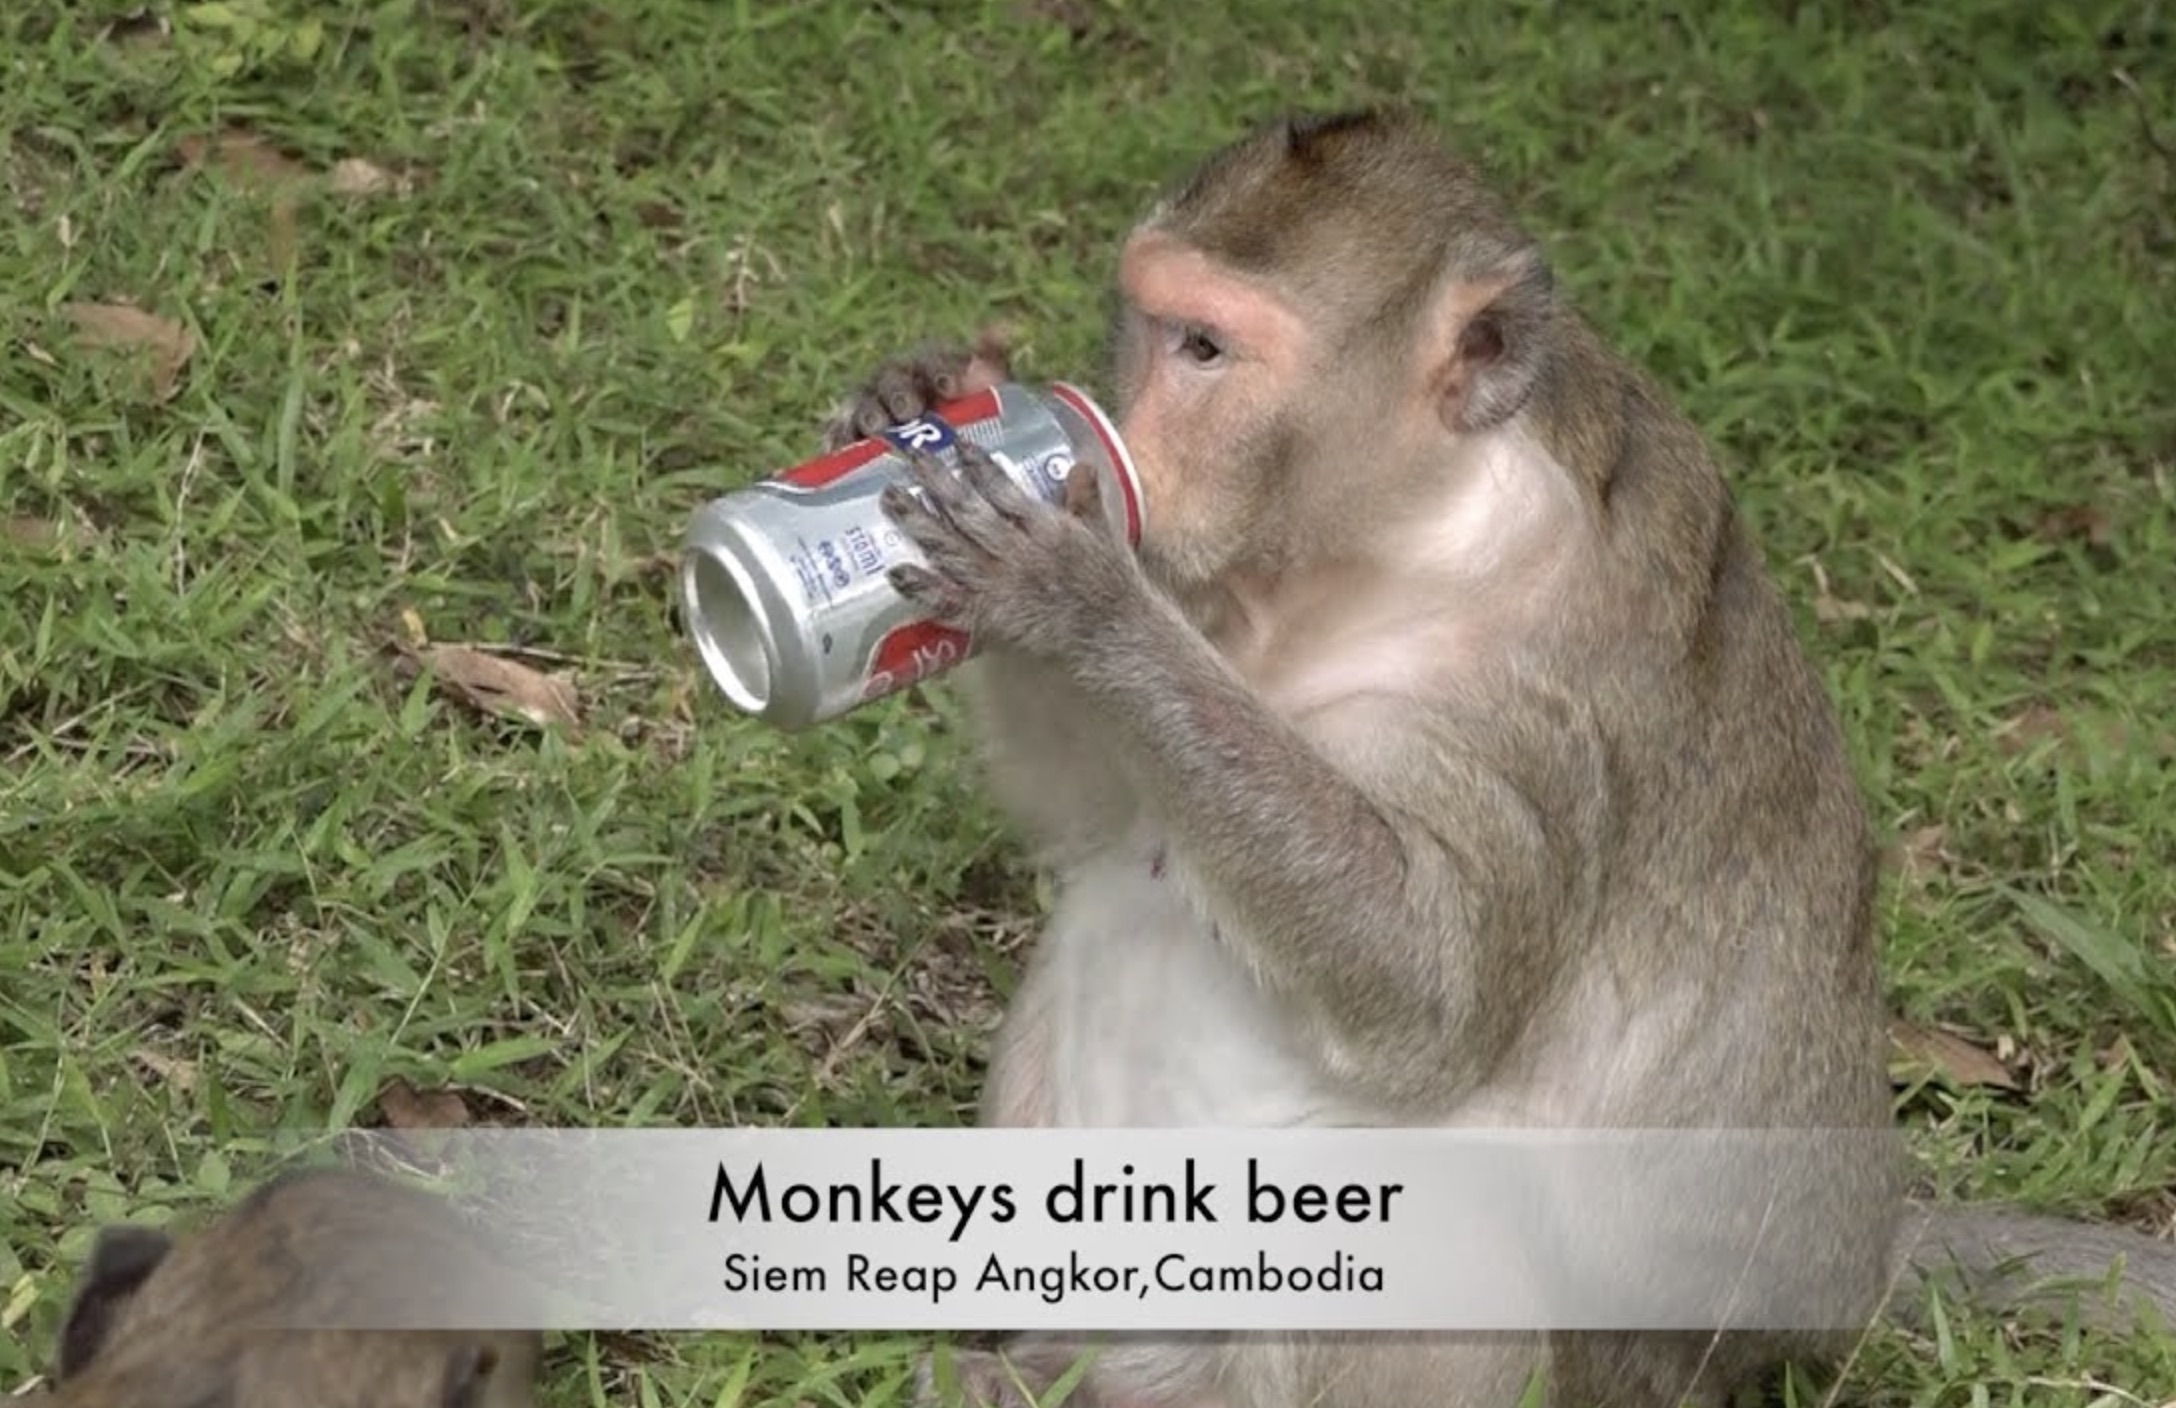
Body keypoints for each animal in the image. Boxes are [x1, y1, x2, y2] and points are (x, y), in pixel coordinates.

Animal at [822, 113, 2176, 1408]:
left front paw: (1077, 590)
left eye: (1204, 350)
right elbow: (1099, 817)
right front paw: (924, 399)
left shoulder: (1546, 695)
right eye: (1149, 328)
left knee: (1437, 1183)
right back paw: (1033, 1369)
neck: (1398, 529)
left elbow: (1432, 982)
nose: (1128, 439)